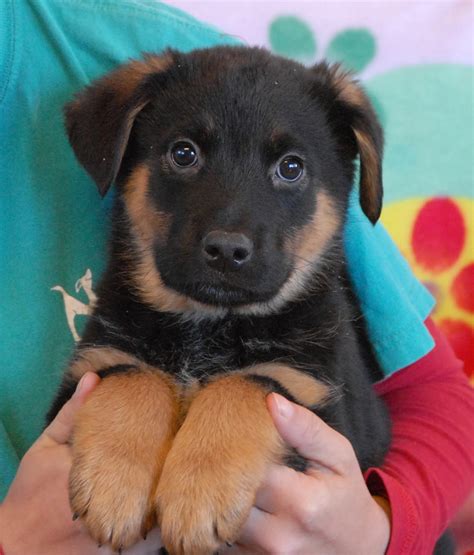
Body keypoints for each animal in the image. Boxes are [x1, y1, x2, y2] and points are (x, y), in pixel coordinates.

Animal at [47, 47, 392, 555]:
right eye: (183, 153)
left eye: (291, 167)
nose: (227, 250)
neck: (207, 324)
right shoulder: (89, 369)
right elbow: (133, 375)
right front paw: (113, 483)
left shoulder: (320, 403)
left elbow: (246, 384)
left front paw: (198, 494)